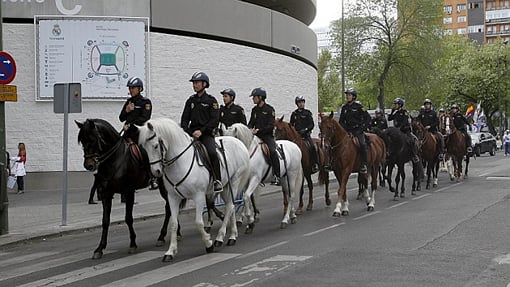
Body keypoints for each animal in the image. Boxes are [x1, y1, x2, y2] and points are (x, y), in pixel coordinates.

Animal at [74, 118, 172, 260]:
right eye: (82, 141)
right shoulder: (106, 194)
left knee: (169, 207)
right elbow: (105, 221)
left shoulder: (129, 191)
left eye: (93, 139)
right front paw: (99, 248)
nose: (89, 165)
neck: (115, 159)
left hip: (164, 186)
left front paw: (132, 244)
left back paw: (163, 236)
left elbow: (128, 218)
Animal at [137, 118, 251, 262]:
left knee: (230, 206)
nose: (156, 172)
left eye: (156, 146)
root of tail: (238, 142)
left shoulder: (199, 196)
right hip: (226, 186)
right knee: (230, 208)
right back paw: (231, 236)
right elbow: (173, 224)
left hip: (235, 181)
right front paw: (170, 251)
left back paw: (221, 238)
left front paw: (208, 244)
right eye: (144, 148)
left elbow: (198, 222)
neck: (180, 163)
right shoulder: (173, 198)